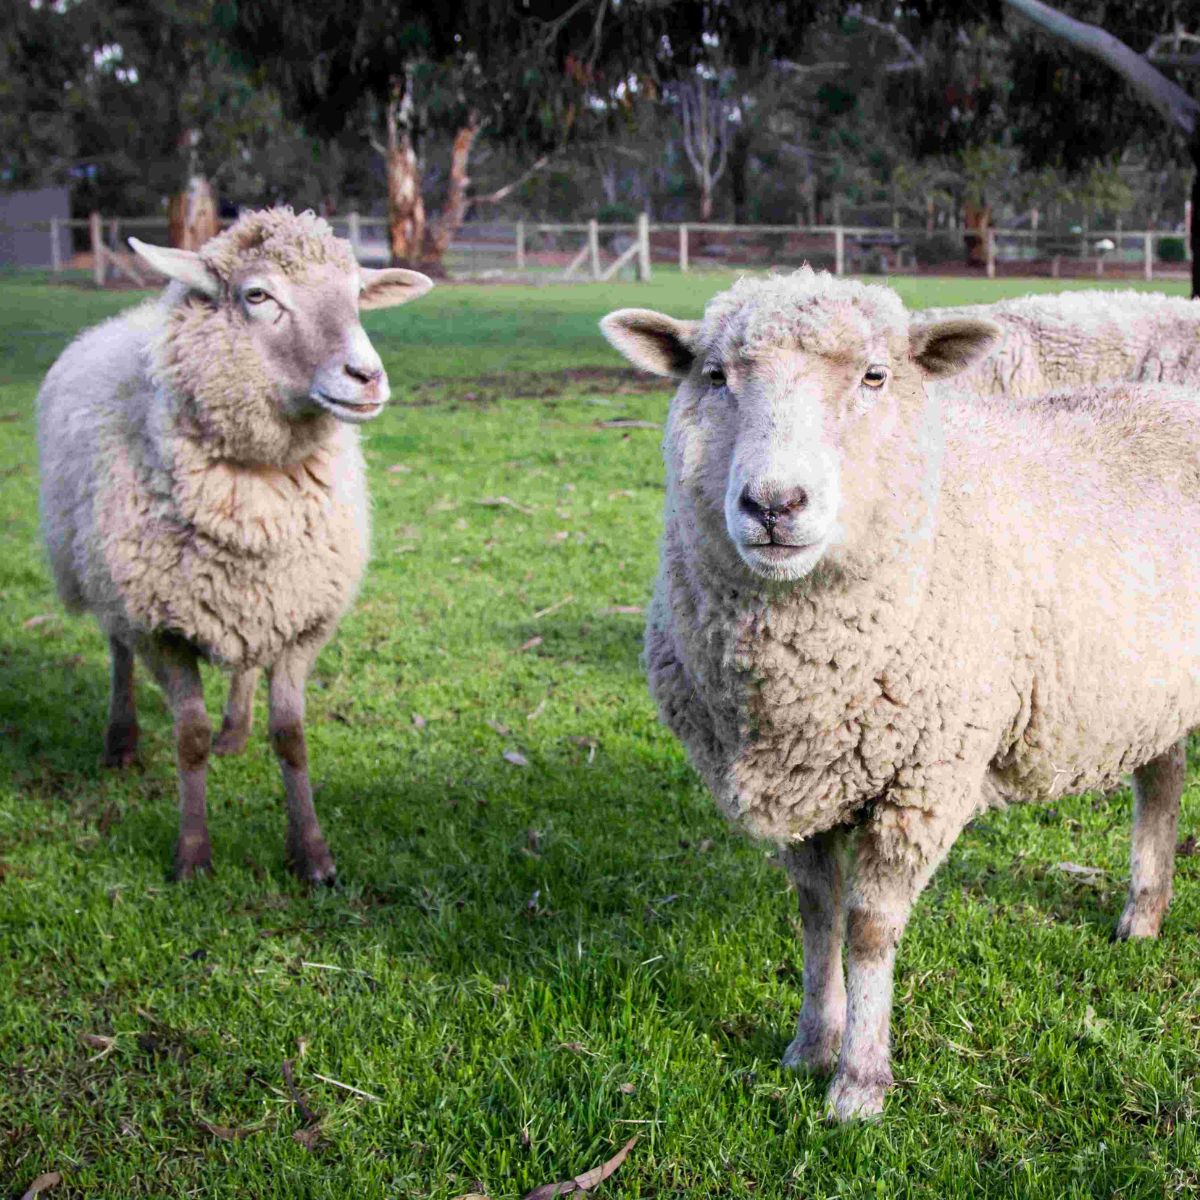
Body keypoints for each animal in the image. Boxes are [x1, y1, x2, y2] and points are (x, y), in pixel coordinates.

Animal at [38, 207, 432, 883]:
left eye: (358, 296)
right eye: (257, 296)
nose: (367, 377)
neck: (255, 501)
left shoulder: (301, 615)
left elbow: (291, 736)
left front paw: (312, 856)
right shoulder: (160, 628)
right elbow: (188, 738)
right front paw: (193, 856)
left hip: (252, 601)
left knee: (245, 660)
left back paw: (236, 730)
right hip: (104, 576)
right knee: (116, 650)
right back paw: (122, 741)